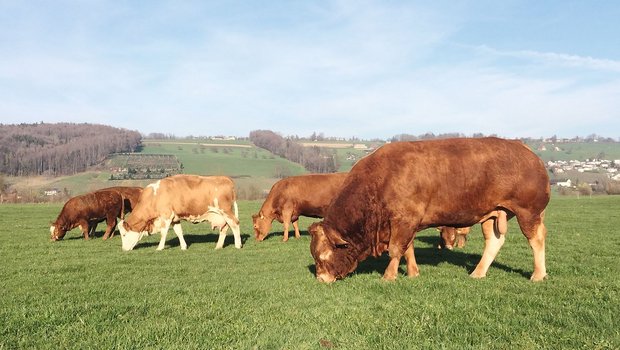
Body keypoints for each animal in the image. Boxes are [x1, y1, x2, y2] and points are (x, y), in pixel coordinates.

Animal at [308, 138, 548, 284]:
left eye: (322, 255)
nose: (321, 278)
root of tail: (527, 150)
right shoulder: (406, 222)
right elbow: (408, 249)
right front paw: (413, 273)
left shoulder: (404, 220)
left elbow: (396, 249)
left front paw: (388, 276)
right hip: (493, 213)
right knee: (494, 241)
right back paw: (478, 273)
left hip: (528, 212)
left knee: (536, 239)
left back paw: (538, 274)